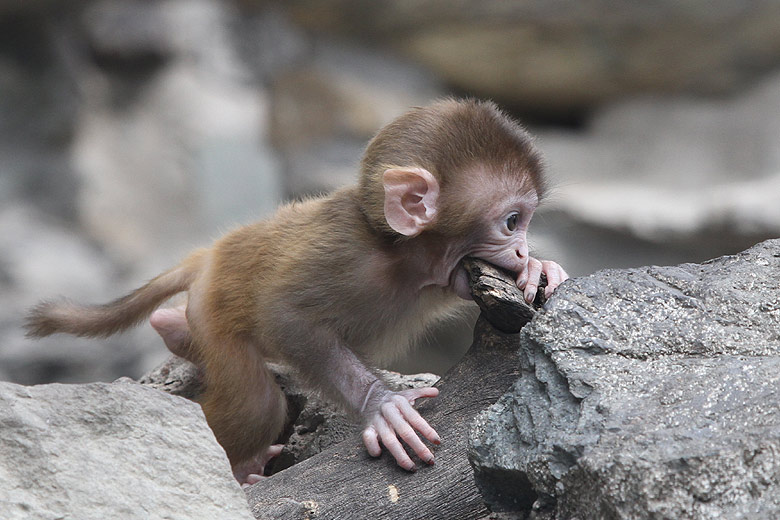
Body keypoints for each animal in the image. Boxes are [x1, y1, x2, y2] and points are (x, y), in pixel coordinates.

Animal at [25, 99, 568, 485]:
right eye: (512, 221)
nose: (521, 249)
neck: (398, 254)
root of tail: (210, 254)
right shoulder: (343, 256)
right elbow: (286, 316)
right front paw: (382, 406)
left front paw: (540, 267)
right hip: (216, 313)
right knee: (257, 401)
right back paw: (240, 467)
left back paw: (172, 329)